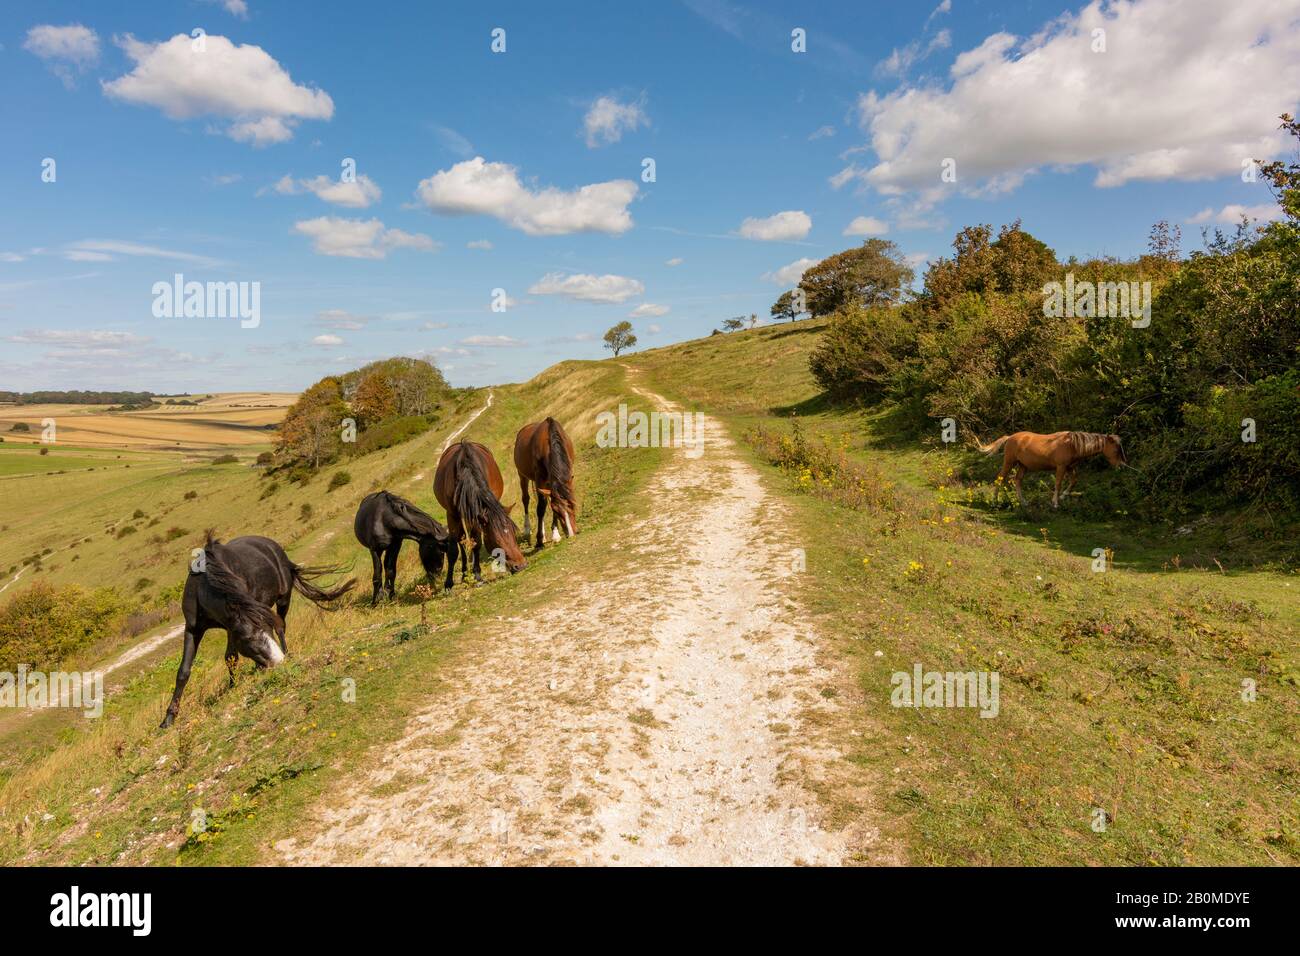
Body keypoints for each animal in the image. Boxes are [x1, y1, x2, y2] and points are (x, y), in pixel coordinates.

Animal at [159, 535, 358, 728]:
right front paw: (168, 718)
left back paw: (283, 654)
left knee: (281, 627)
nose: (278, 662)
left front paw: (235, 685)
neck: (203, 587)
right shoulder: (193, 629)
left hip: (283, 599)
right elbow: (184, 671)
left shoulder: (233, 624)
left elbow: (231, 656)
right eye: (248, 638)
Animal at [431, 442, 522, 590]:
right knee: (461, 542)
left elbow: (477, 544)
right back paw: (464, 575)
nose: (521, 565)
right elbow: (453, 551)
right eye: (497, 540)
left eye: (514, 534)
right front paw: (448, 584)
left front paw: (478, 575)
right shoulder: (452, 515)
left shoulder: (477, 516)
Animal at [512, 416, 579, 548]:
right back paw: (528, 530)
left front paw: (555, 534)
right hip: (522, 475)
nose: (572, 533)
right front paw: (539, 540)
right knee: (526, 499)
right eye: (557, 511)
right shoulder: (540, 479)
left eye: (572, 505)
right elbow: (541, 508)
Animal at [977, 431, 1128, 509]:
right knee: (1000, 479)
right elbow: (1058, 484)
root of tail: (1010, 437)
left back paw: (1023, 502)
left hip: (1023, 466)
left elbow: (1074, 481)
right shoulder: (1061, 467)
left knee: (1017, 481)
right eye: (1116, 450)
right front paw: (1055, 503)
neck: (1072, 444)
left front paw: (1062, 496)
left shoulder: (1069, 467)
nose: (1121, 466)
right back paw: (994, 502)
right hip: (1009, 462)